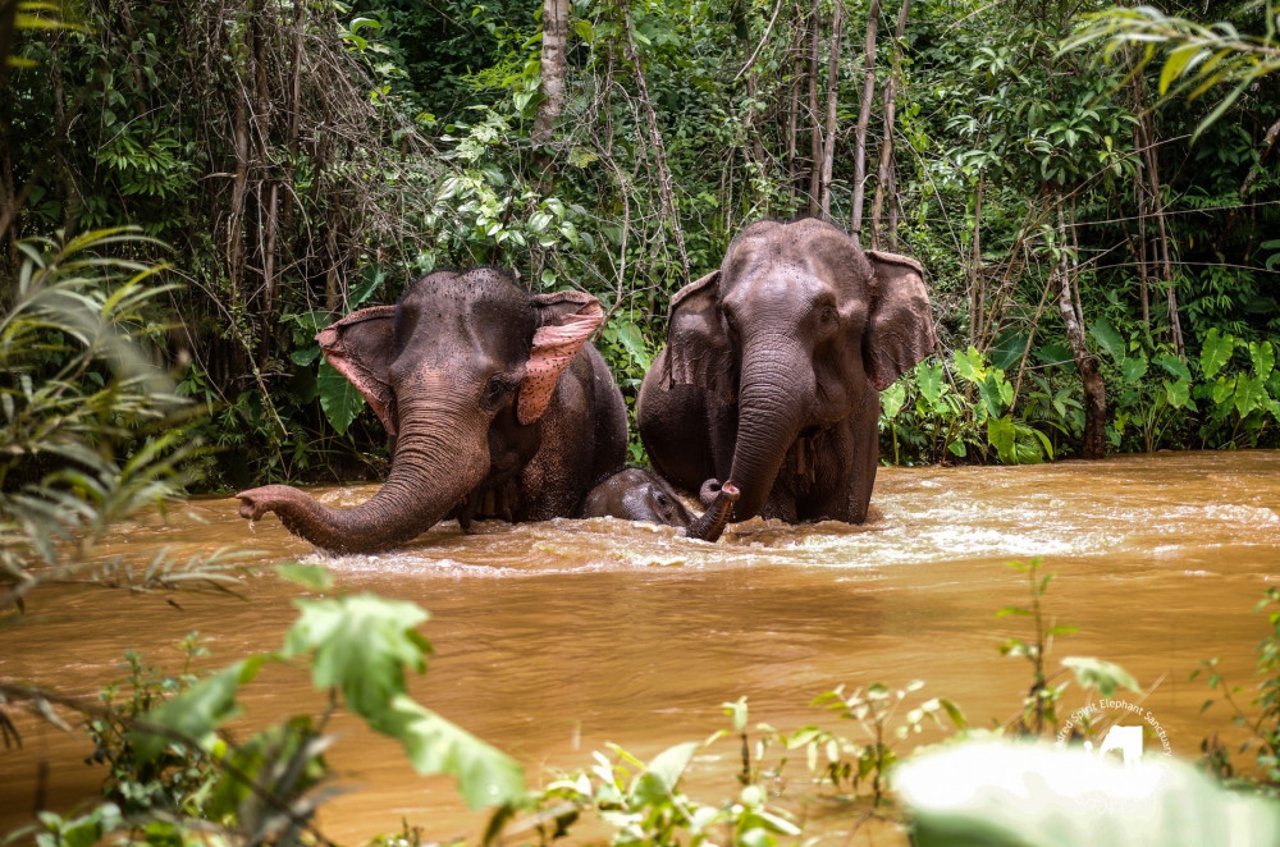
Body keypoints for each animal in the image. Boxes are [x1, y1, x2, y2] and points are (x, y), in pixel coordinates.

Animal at [634, 222, 936, 534]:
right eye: (729, 319)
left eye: (826, 313)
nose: (722, 485)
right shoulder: (723, 413)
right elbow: (771, 510)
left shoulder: (864, 417)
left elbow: (841, 512)